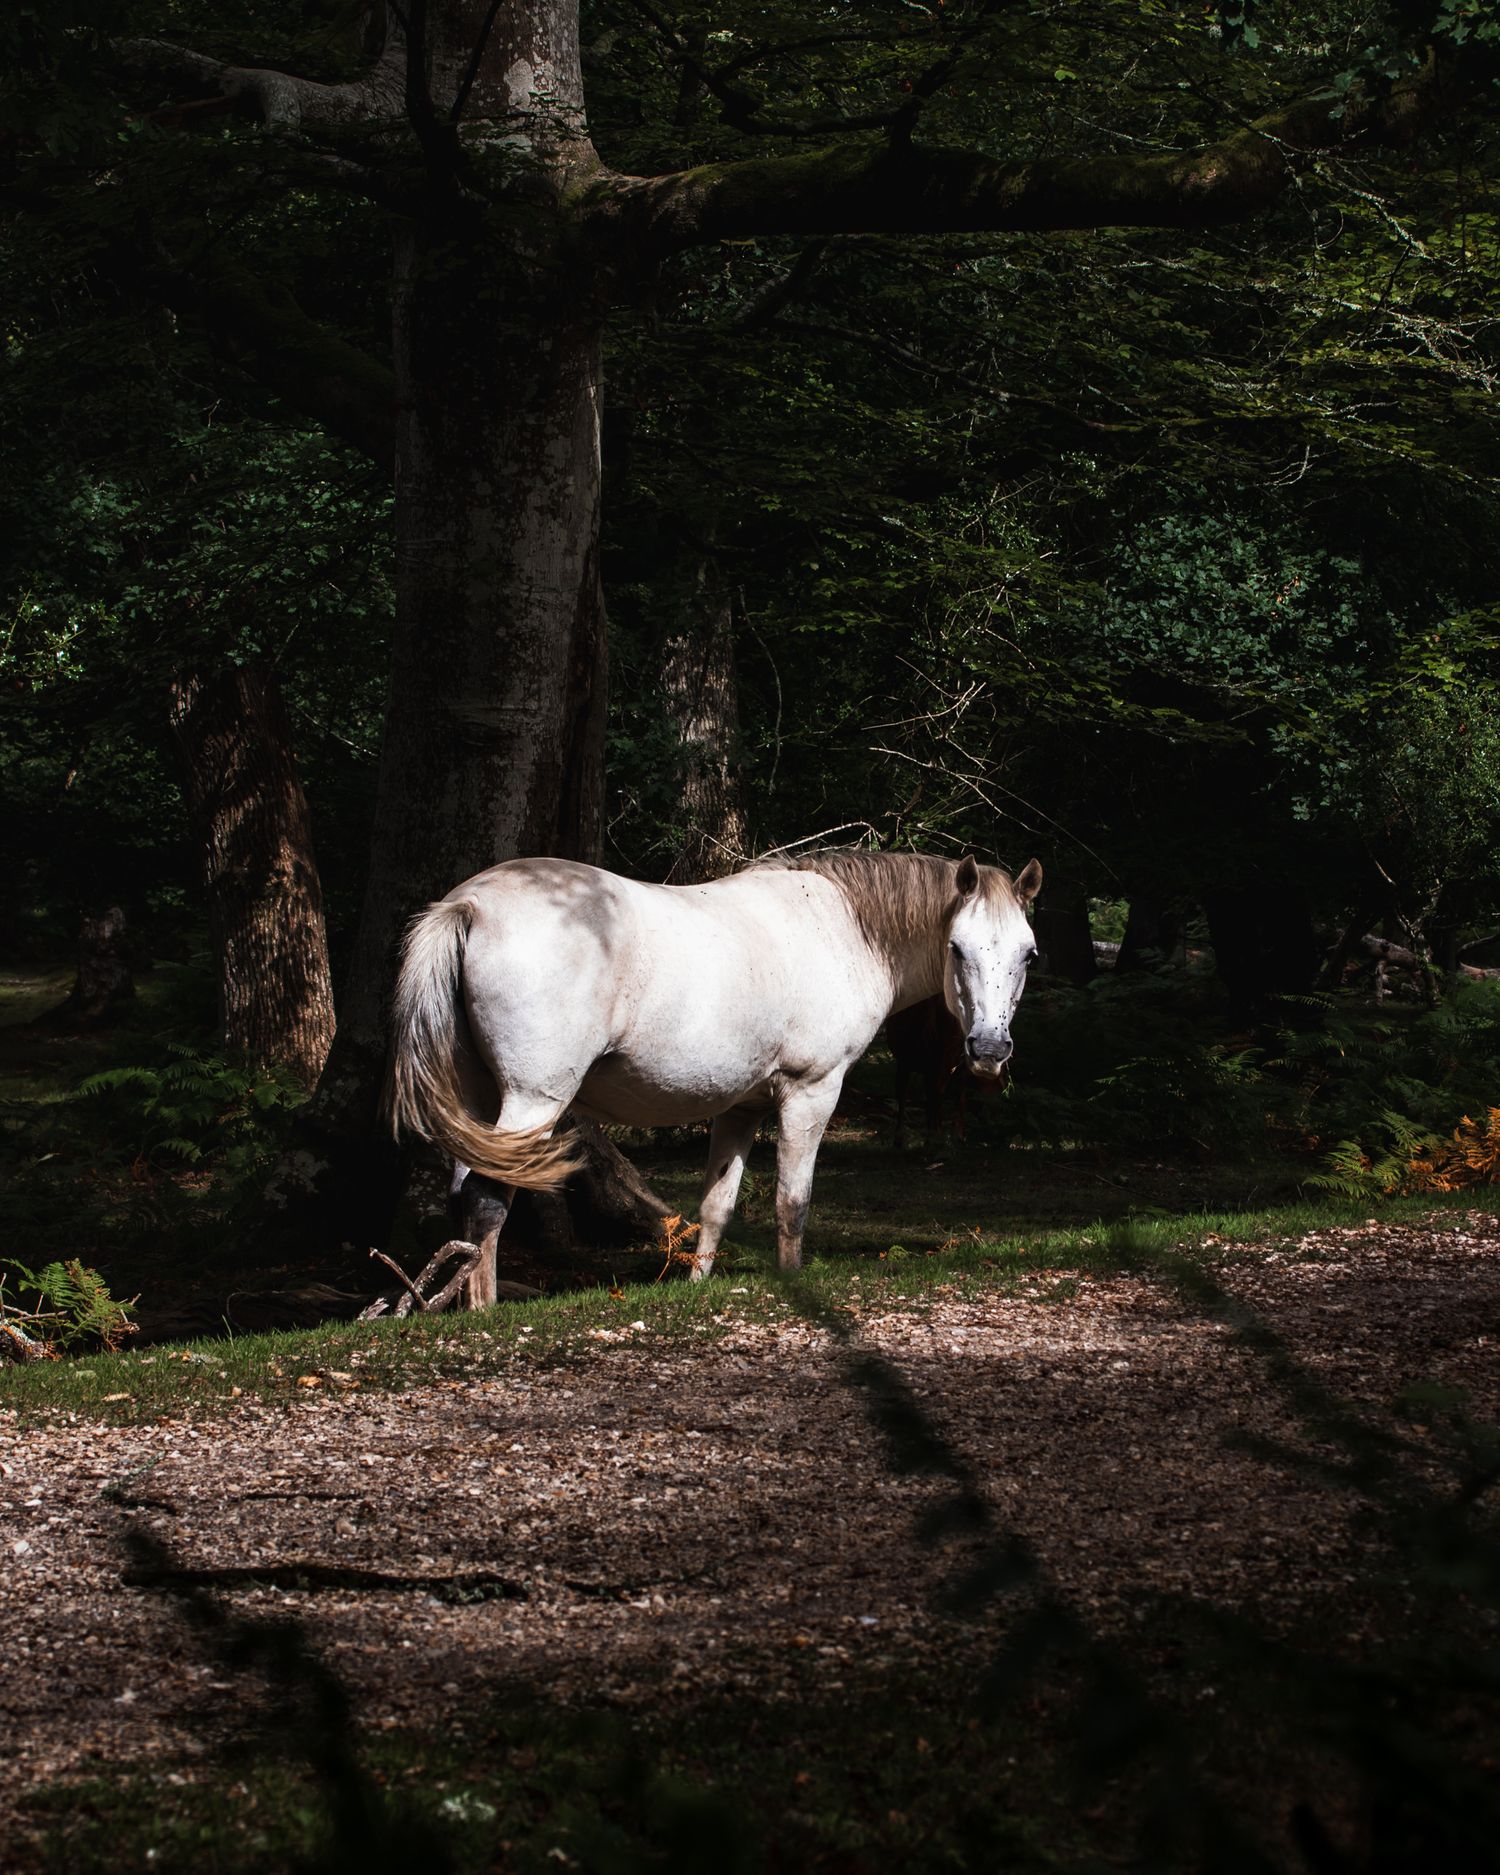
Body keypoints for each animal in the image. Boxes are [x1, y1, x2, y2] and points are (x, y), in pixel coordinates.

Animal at [387, 849, 1042, 1295]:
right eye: (957, 948)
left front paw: (697, 1287)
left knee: (464, 1198)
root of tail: (471, 904)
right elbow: (792, 1202)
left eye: (1028, 953)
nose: (989, 1047)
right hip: (532, 1101)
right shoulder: (811, 1092)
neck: (845, 930)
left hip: (479, 1104)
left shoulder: (741, 1109)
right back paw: (483, 1312)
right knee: (487, 1200)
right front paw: (791, 1280)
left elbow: (716, 1204)